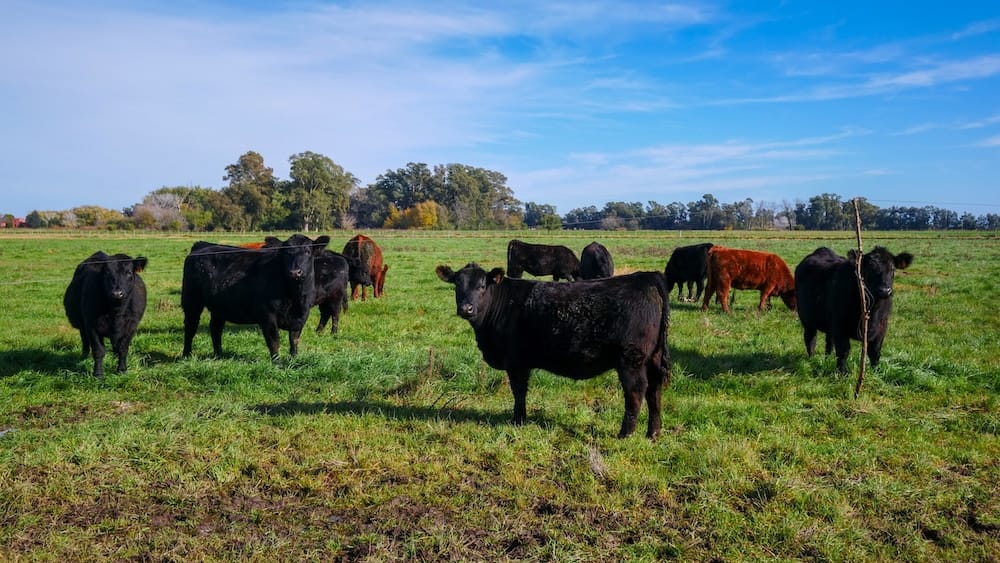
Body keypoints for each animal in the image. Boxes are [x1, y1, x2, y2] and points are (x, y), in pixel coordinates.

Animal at [181, 234, 329, 360]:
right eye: (286, 253)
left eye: (307, 251)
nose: (295, 272)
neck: (295, 298)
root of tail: (202, 246)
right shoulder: (268, 316)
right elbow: (274, 341)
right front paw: (277, 363)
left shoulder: (301, 317)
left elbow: (294, 340)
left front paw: (294, 359)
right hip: (191, 301)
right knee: (190, 327)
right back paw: (187, 355)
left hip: (219, 306)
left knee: (216, 328)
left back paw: (219, 355)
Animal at [436, 263, 671, 439]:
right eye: (457, 285)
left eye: (483, 285)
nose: (466, 308)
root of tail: (646, 277)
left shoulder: (516, 362)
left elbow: (518, 392)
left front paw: (518, 421)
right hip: (653, 358)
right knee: (654, 392)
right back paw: (653, 433)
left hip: (631, 360)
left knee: (636, 392)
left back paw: (625, 434)